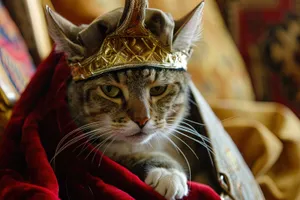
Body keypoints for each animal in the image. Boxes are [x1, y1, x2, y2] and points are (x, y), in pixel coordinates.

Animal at [45, 0, 216, 199]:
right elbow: (122, 158)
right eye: (110, 90)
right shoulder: (99, 152)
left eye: (158, 89)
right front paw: (167, 172)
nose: (142, 120)